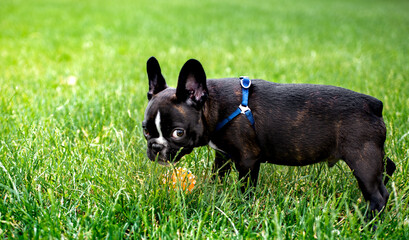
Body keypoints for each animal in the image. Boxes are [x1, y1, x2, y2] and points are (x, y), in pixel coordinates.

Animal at [143, 56, 396, 219]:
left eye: (178, 133)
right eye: (145, 130)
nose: (155, 148)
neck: (215, 106)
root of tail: (374, 105)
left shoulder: (248, 159)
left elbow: (246, 188)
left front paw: (241, 208)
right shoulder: (222, 154)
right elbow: (218, 175)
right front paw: (213, 192)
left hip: (362, 159)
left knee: (378, 194)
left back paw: (369, 223)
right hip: (373, 154)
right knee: (388, 169)